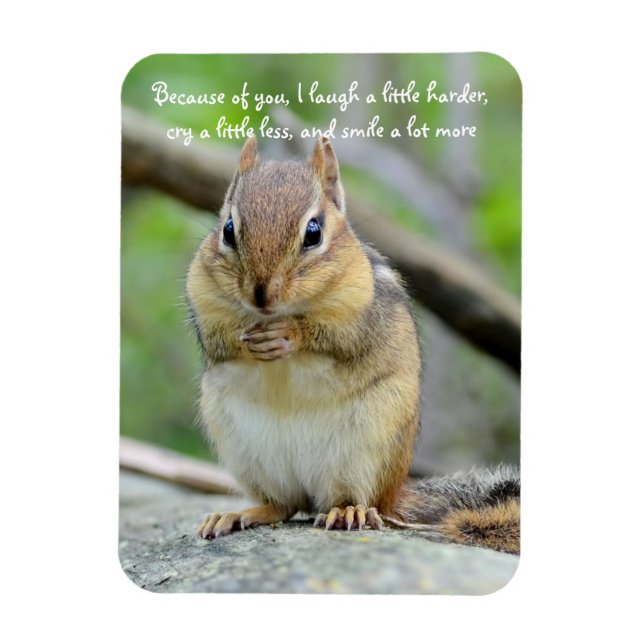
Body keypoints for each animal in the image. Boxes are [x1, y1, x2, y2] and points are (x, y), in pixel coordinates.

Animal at [186, 135, 520, 555]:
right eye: (228, 229)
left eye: (314, 232)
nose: (262, 295)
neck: (275, 312)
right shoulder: (203, 302)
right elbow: (220, 339)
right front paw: (250, 341)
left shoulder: (359, 315)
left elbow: (337, 339)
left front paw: (289, 335)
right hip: (244, 452)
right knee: (282, 505)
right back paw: (237, 514)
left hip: (367, 450)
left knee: (354, 501)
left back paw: (348, 512)